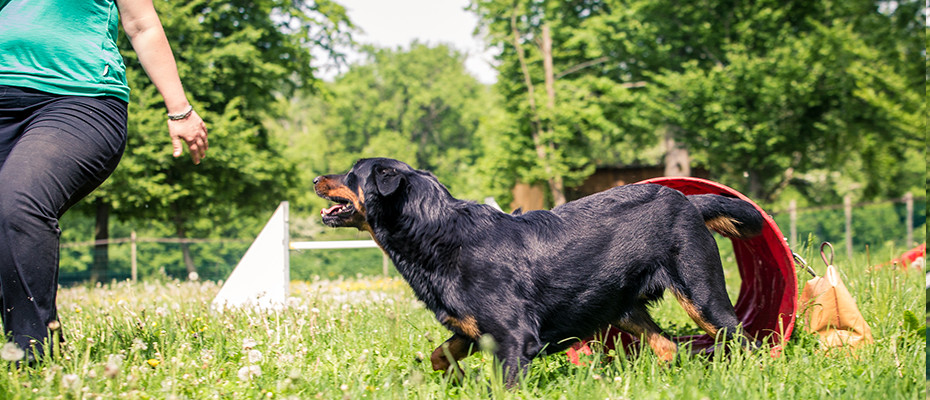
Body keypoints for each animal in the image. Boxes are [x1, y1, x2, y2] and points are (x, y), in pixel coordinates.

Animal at [312, 158, 760, 382]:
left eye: (351, 174)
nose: (316, 177)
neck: (438, 232)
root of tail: (689, 202)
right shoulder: (474, 329)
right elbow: (441, 353)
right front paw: (453, 378)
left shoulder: (515, 338)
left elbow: (504, 385)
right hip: (622, 306)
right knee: (667, 346)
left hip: (701, 294)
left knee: (742, 340)